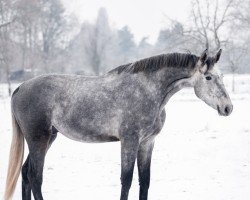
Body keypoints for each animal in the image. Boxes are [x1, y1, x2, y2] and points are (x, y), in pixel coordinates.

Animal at [4, 48, 232, 200]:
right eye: (209, 77)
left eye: (221, 76)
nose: (228, 108)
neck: (147, 90)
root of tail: (20, 88)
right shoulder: (129, 141)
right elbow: (127, 180)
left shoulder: (147, 142)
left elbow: (144, 180)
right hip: (38, 139)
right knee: (34, 176)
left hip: (48, 138)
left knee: (25, 173)